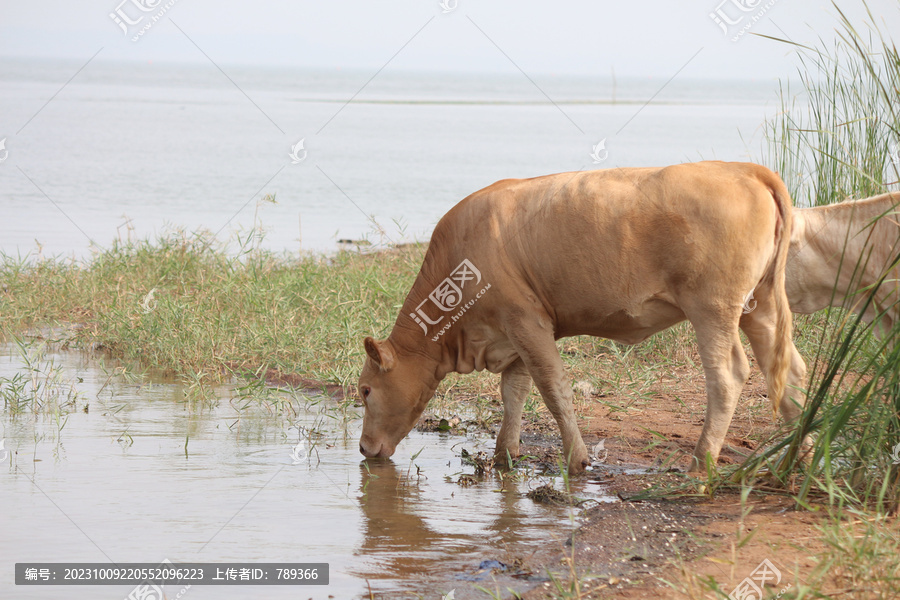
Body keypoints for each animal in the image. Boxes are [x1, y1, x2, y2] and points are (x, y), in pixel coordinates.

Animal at [356, 161, 804, 474]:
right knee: (789, 370)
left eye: (364, 390)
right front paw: (505, 456)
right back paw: (801, 457)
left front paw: (577, 459)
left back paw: (701, 463)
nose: (362, 448)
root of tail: (742, 168)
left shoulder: (526, 320)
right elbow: (514, 392)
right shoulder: (514, 332)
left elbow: (553, 389)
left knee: (727, 377)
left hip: (713, 306)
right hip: (761, 305)